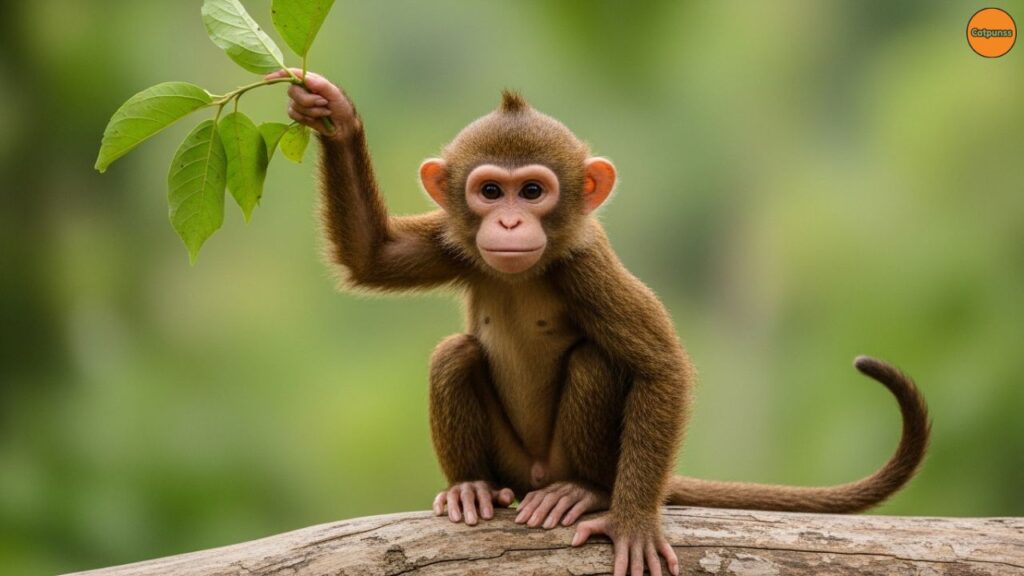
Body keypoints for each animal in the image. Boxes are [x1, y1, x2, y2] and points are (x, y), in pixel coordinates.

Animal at [270, 69, 930, 576]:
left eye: (532, 191)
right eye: (491, 192)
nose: (508, 224)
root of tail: (536, 476)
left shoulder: (586, 265)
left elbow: (661, 368)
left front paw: (633, 522)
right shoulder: (457, 242)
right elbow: (372, 255)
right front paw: (331, 111)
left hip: (574, 457)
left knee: (594, 361)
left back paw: (586, 491)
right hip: (512, 461)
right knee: (453, 354)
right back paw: (472, 486)